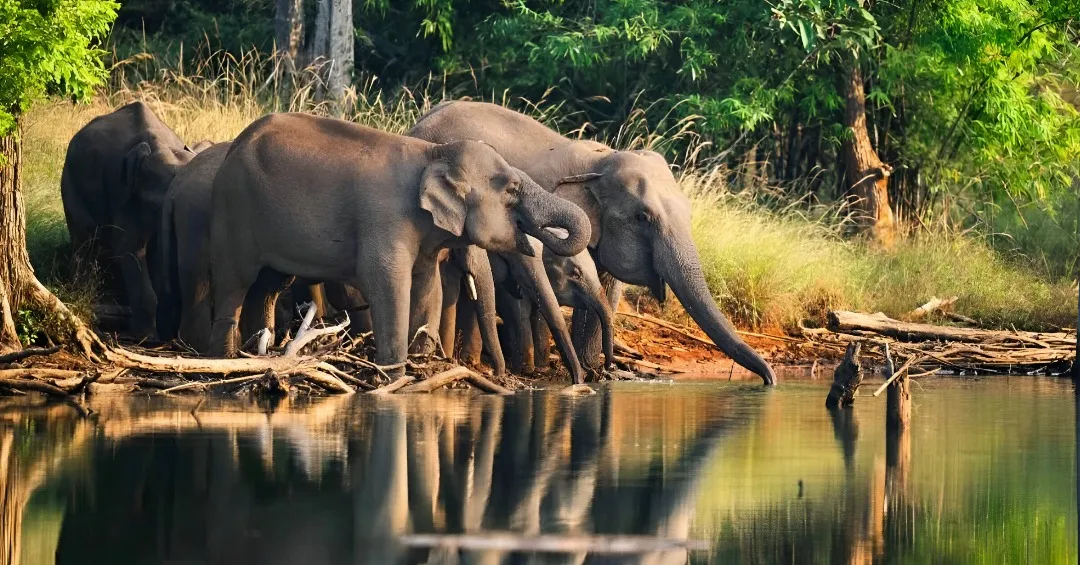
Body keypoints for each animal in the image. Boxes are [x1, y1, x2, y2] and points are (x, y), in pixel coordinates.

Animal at [61, 100, 198, 339]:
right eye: (157, 205)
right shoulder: (125, 193)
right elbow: (130, 249)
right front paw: (146, 337)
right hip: (69, 181)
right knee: (83, 239)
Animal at [205, 113, 591, 379]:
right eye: (511, 189)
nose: (582, 379)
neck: (432, 154)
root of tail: (233, 146)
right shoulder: (386, 220)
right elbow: (390, 286)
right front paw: (393, 376)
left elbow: (426, 288)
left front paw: (420, 364)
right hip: (231, 212)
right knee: (233, 283)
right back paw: (224, 361)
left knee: (267, 287)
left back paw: (254, 352)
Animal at [409, 100, 776, 385]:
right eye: (643, 217)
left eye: (688, 212)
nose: (769, 380)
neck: (599, 163)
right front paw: (588, 370)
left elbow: (607, 284)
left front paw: (593, 369)